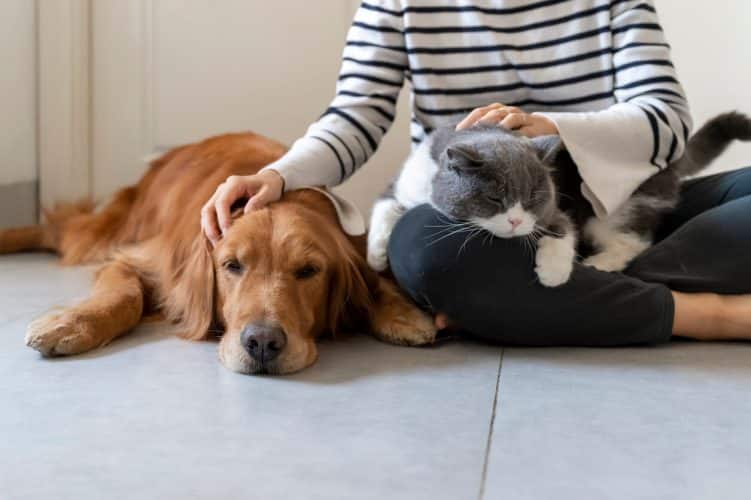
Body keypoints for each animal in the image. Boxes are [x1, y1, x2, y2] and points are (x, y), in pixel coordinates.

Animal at [368, 112, 751, 288]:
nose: (516, 221)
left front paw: (552, 272)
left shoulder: (558, 209)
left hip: (612, 209)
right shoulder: (401, 184)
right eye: (494, 198)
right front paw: (375, 256)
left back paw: (599, 263)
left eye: (532, 198)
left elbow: (562, 229)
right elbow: (384, 207)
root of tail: (670, 157)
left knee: (634, 241)